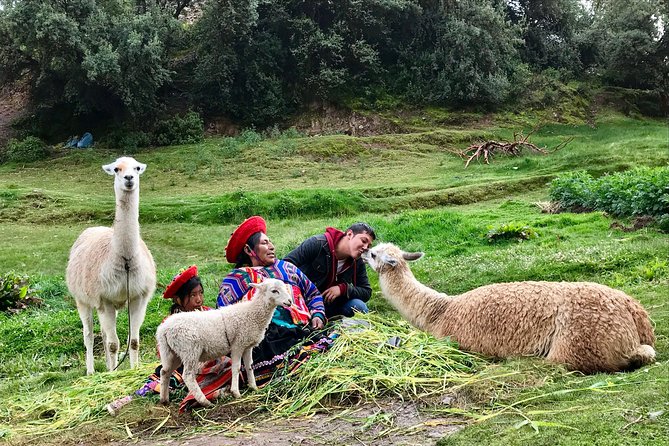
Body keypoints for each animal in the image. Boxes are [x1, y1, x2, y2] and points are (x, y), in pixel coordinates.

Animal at [66, 156, 156, 372]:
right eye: (116, 169)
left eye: (137, 168)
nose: (129, 178)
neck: (125, 262)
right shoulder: (103, 298)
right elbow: (114, 344)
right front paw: (112, 374)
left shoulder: (139, 296)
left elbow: (134, 341)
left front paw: (133, 369)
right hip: (82, 299)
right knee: (89, 335)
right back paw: (92, 371)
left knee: (105, 335)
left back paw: (108, 366)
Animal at [158, 278, 294, 406]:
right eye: (274, 291)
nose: (290, 301)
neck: (252, 313)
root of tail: (164, 329)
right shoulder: (237, 345)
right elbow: (236, 368)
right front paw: (236, 392)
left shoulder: (247, 346)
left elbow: (249, 367)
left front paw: (254, 387)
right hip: (189, 350)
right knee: (188, 376)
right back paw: (204, 401)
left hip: (172, 352)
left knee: (165, 371)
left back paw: (164, 399)